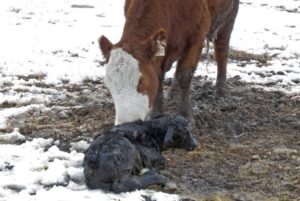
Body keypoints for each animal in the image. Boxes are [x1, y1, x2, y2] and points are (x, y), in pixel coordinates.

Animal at [99, 0, 240, 125]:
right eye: (108, 84)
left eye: (141, 81)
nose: (126, 123)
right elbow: (159, 79)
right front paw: (156, 114)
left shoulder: (196, 38)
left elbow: (185, 76)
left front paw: (185, 116)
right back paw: (173, 92)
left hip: (229, 15)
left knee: (221, 49)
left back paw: (220, 90)